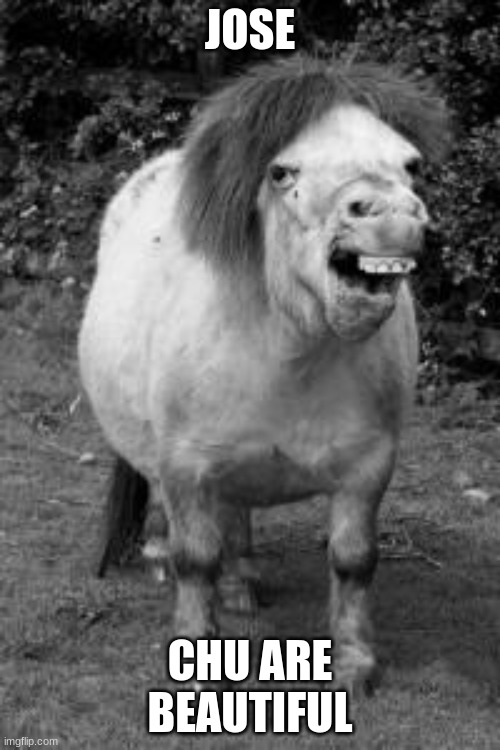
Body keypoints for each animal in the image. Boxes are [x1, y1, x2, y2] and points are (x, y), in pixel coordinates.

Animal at [78, 55, 449, 694]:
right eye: (281, 171)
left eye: (410, 164)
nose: (392, 215)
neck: (290, 352)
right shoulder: (186, 465)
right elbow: (195, 559)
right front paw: (195, 658)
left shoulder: (368, 467)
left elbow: (354, 562)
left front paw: (355, 664)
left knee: (235, 516)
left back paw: (241, 587)